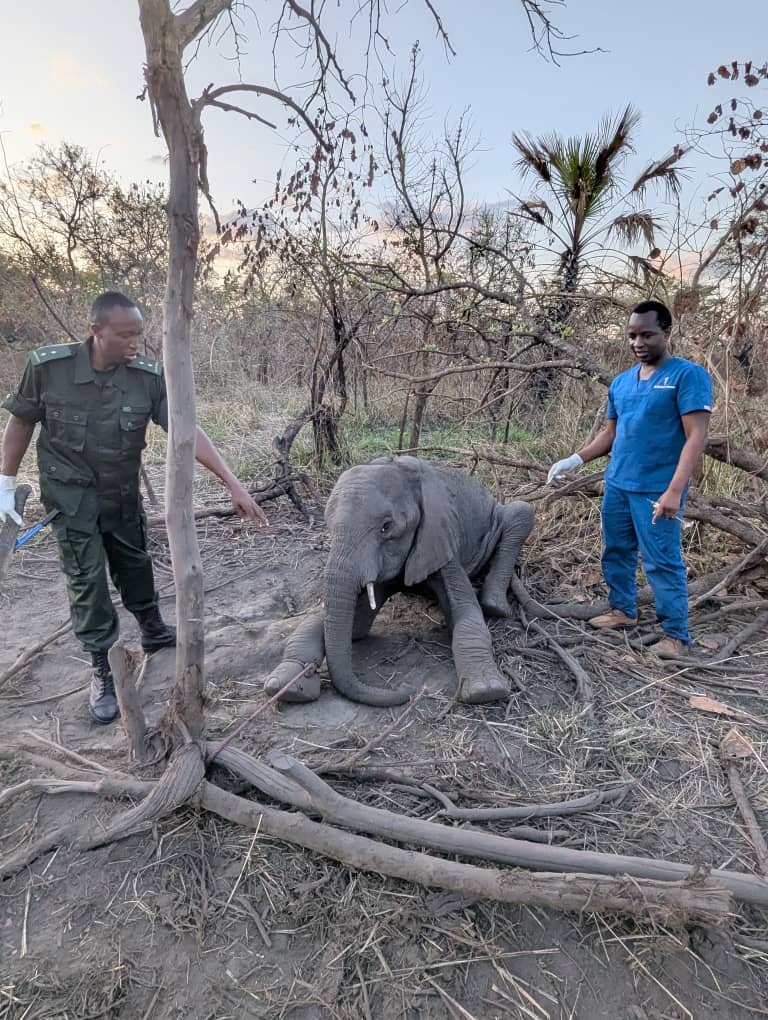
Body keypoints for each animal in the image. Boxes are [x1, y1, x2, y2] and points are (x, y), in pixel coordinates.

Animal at [266, 456, 535, 707]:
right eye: (329, 527)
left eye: (386, 527)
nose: (409, 690)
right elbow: (353, 625)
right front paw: (286, 687)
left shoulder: (440, 539)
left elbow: (468, 614)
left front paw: (486, 691)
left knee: (521, 513)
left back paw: (494, 604)